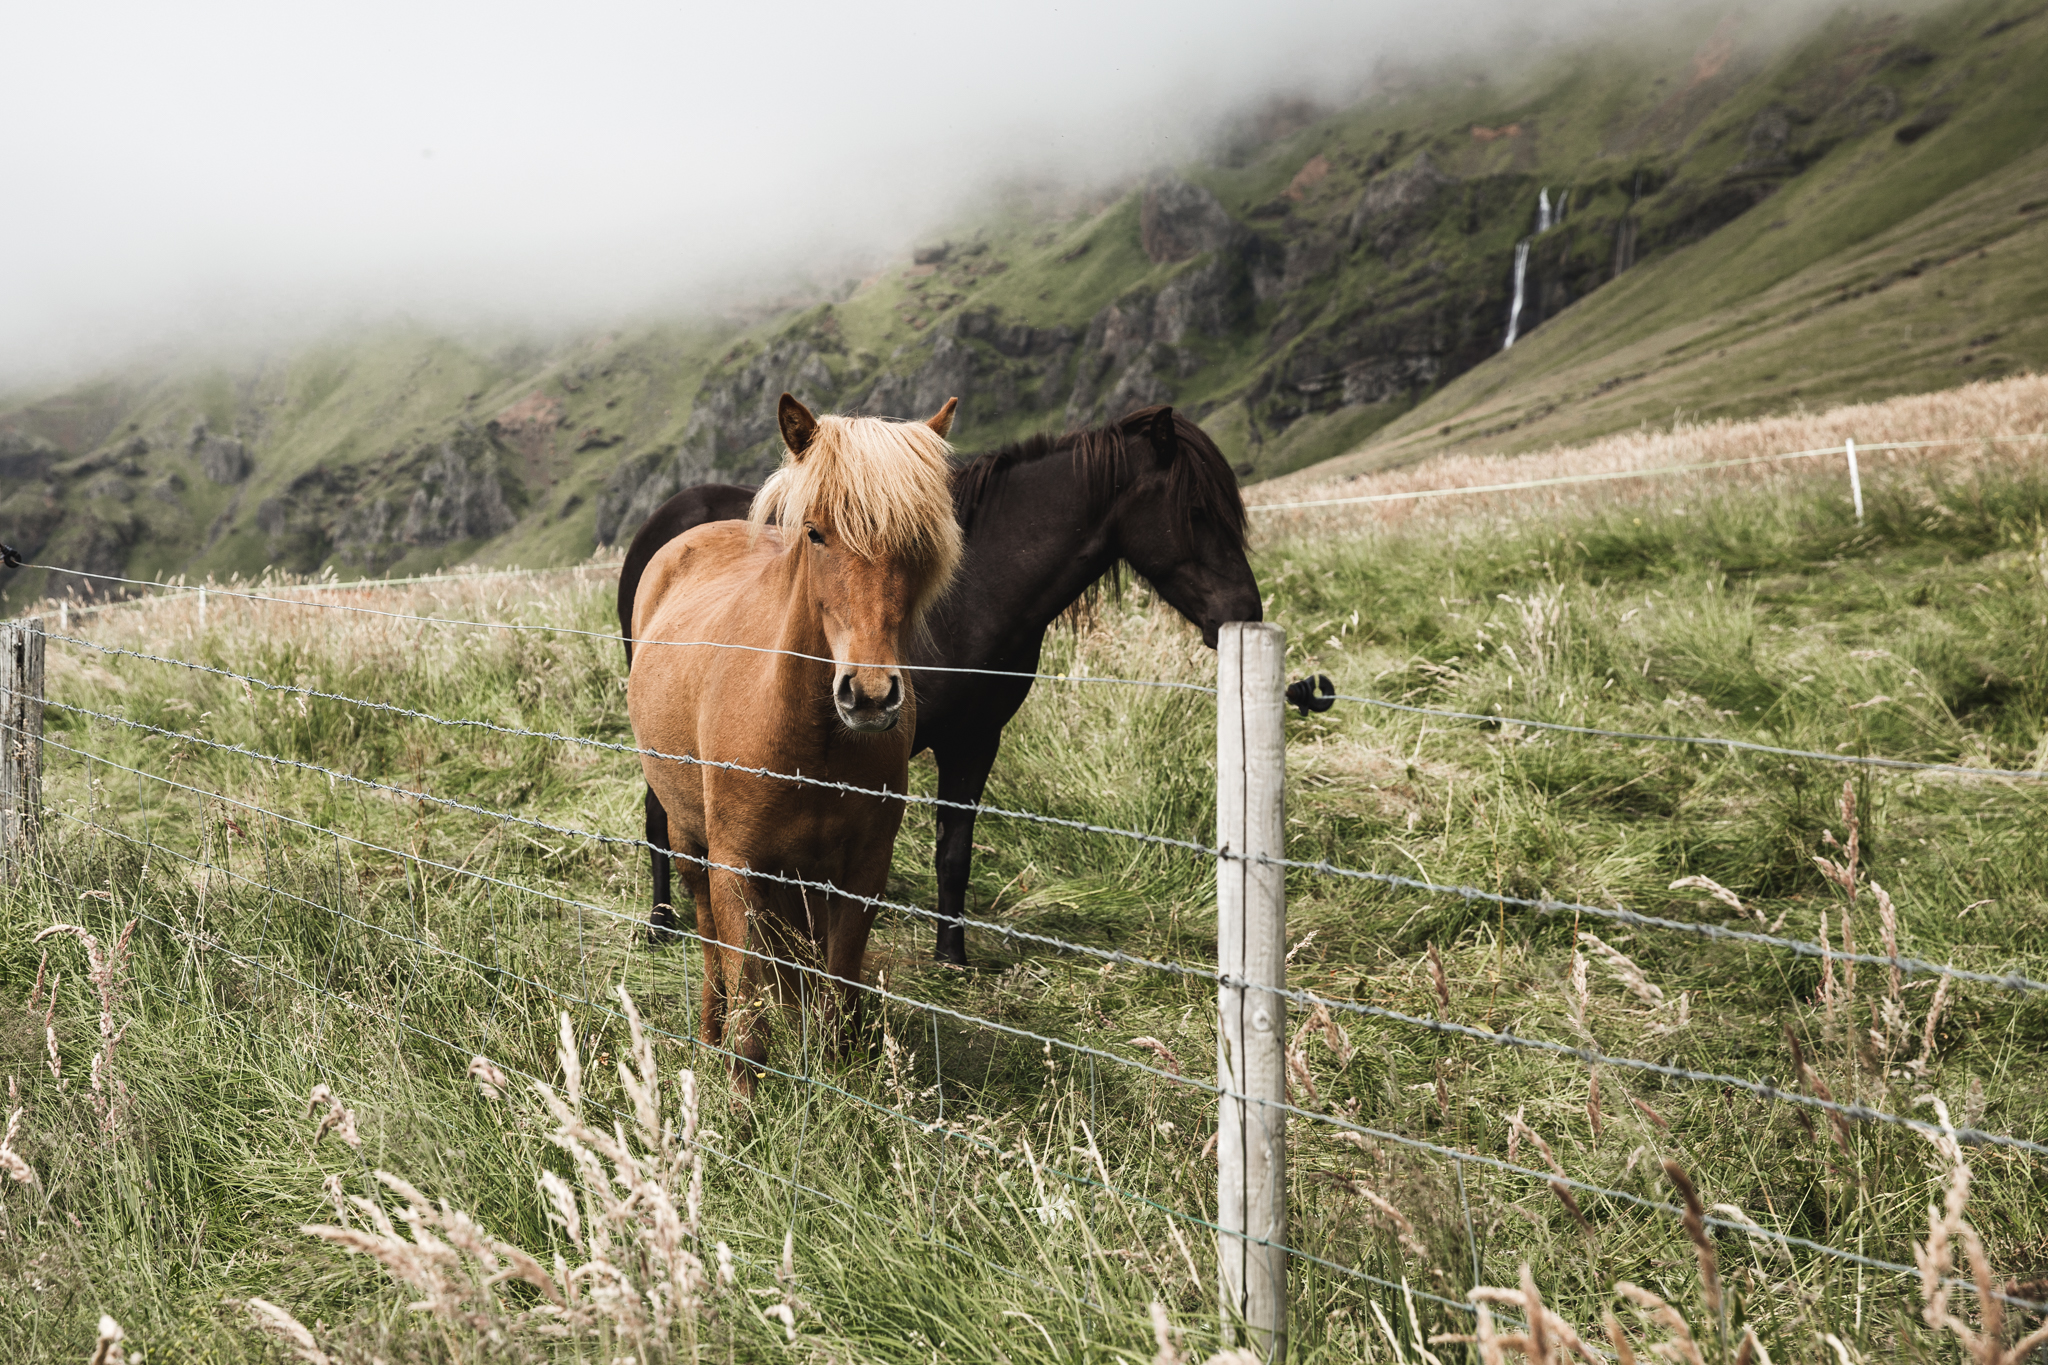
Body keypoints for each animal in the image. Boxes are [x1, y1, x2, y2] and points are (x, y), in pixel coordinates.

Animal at [618, 401, 1261, 965]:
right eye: (1197, 511)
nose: (1244, 612)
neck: (974, 599)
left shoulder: (975, 741)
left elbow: (955, 852)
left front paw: (951, 954)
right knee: (660, 813)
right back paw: (659, 923)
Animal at [626, 392, 962, 1088]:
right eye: (815, 533)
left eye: (917, 542)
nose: (869, 695)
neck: (807, 741)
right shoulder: (735, 868)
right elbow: (749, 1008)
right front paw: (740, 1098)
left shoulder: (861, 874)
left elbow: (839, 994)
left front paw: (838, 1081)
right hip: (690, 842)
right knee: (711, 952)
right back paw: (708, 1036)